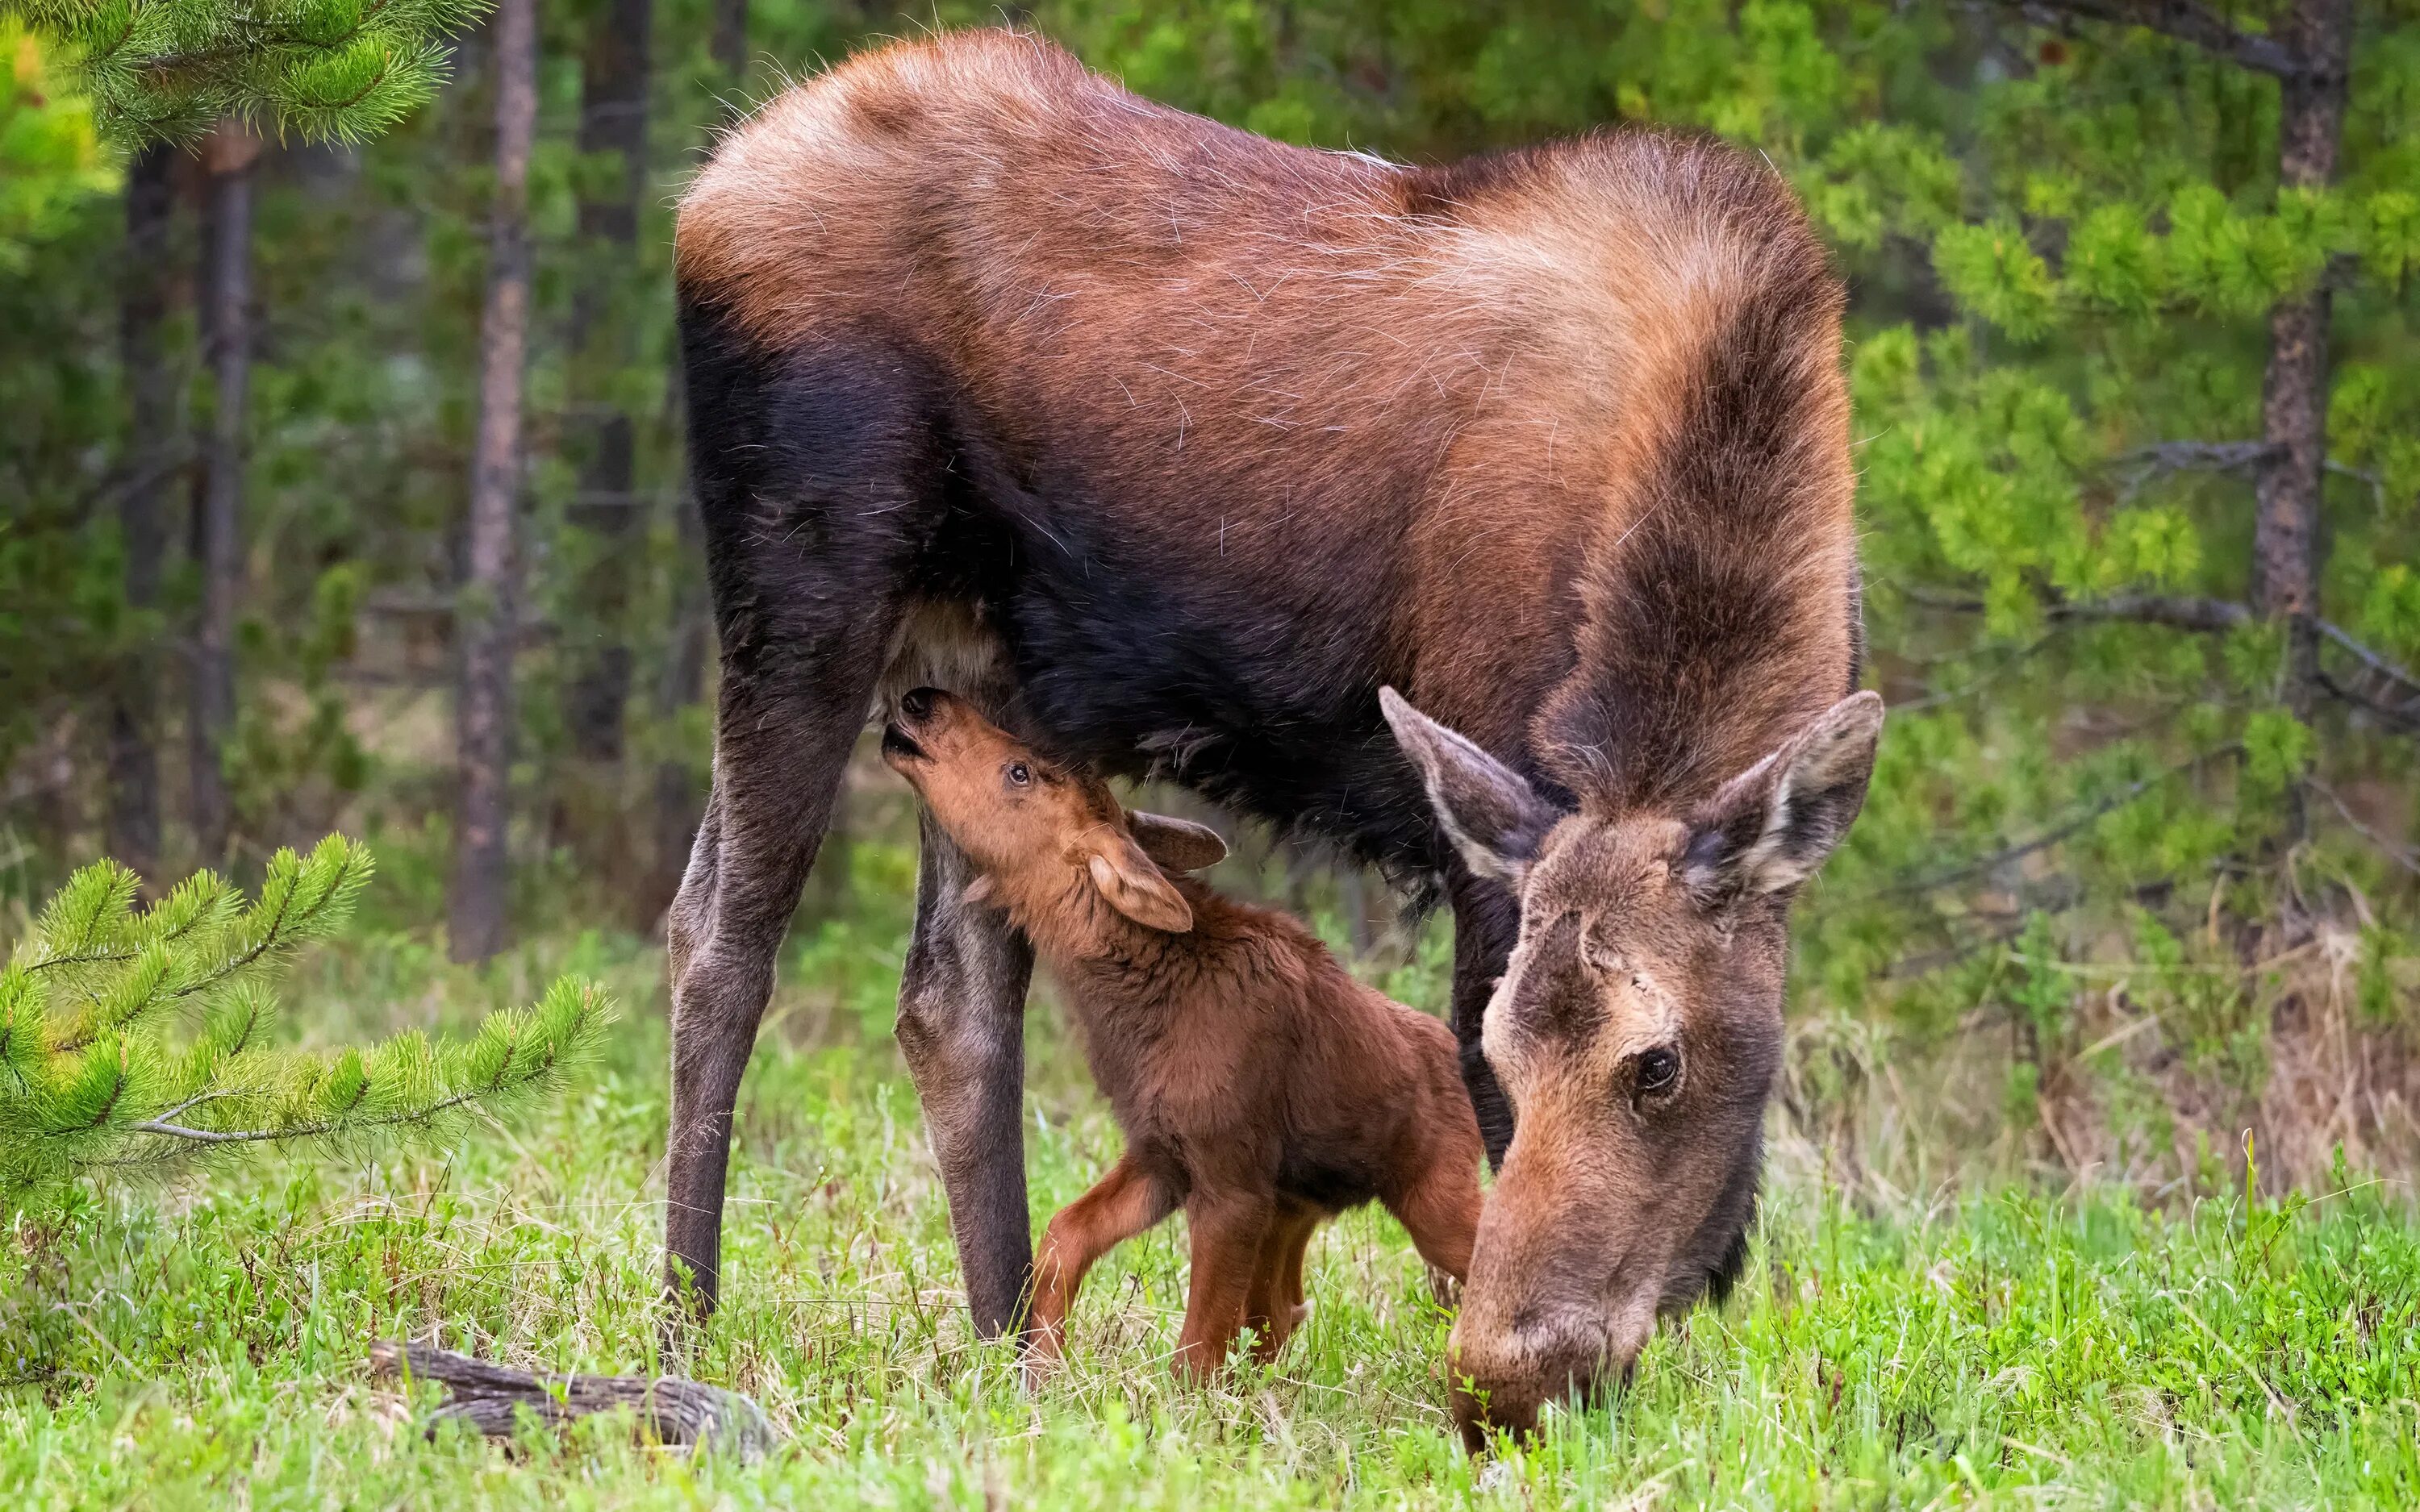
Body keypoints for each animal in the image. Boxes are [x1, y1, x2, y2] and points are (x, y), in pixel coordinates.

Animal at [881, 692, 1481, 1374]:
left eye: (1020, 772)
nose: (922, 701)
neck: (1133, 1009)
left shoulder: (1229, 1181)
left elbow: (1194, 1349)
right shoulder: (1160, 1156)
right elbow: (1064, 1235)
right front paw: (1043, 1369)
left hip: (1432, 1196)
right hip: (1297, 1204)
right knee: (1282, 1311)